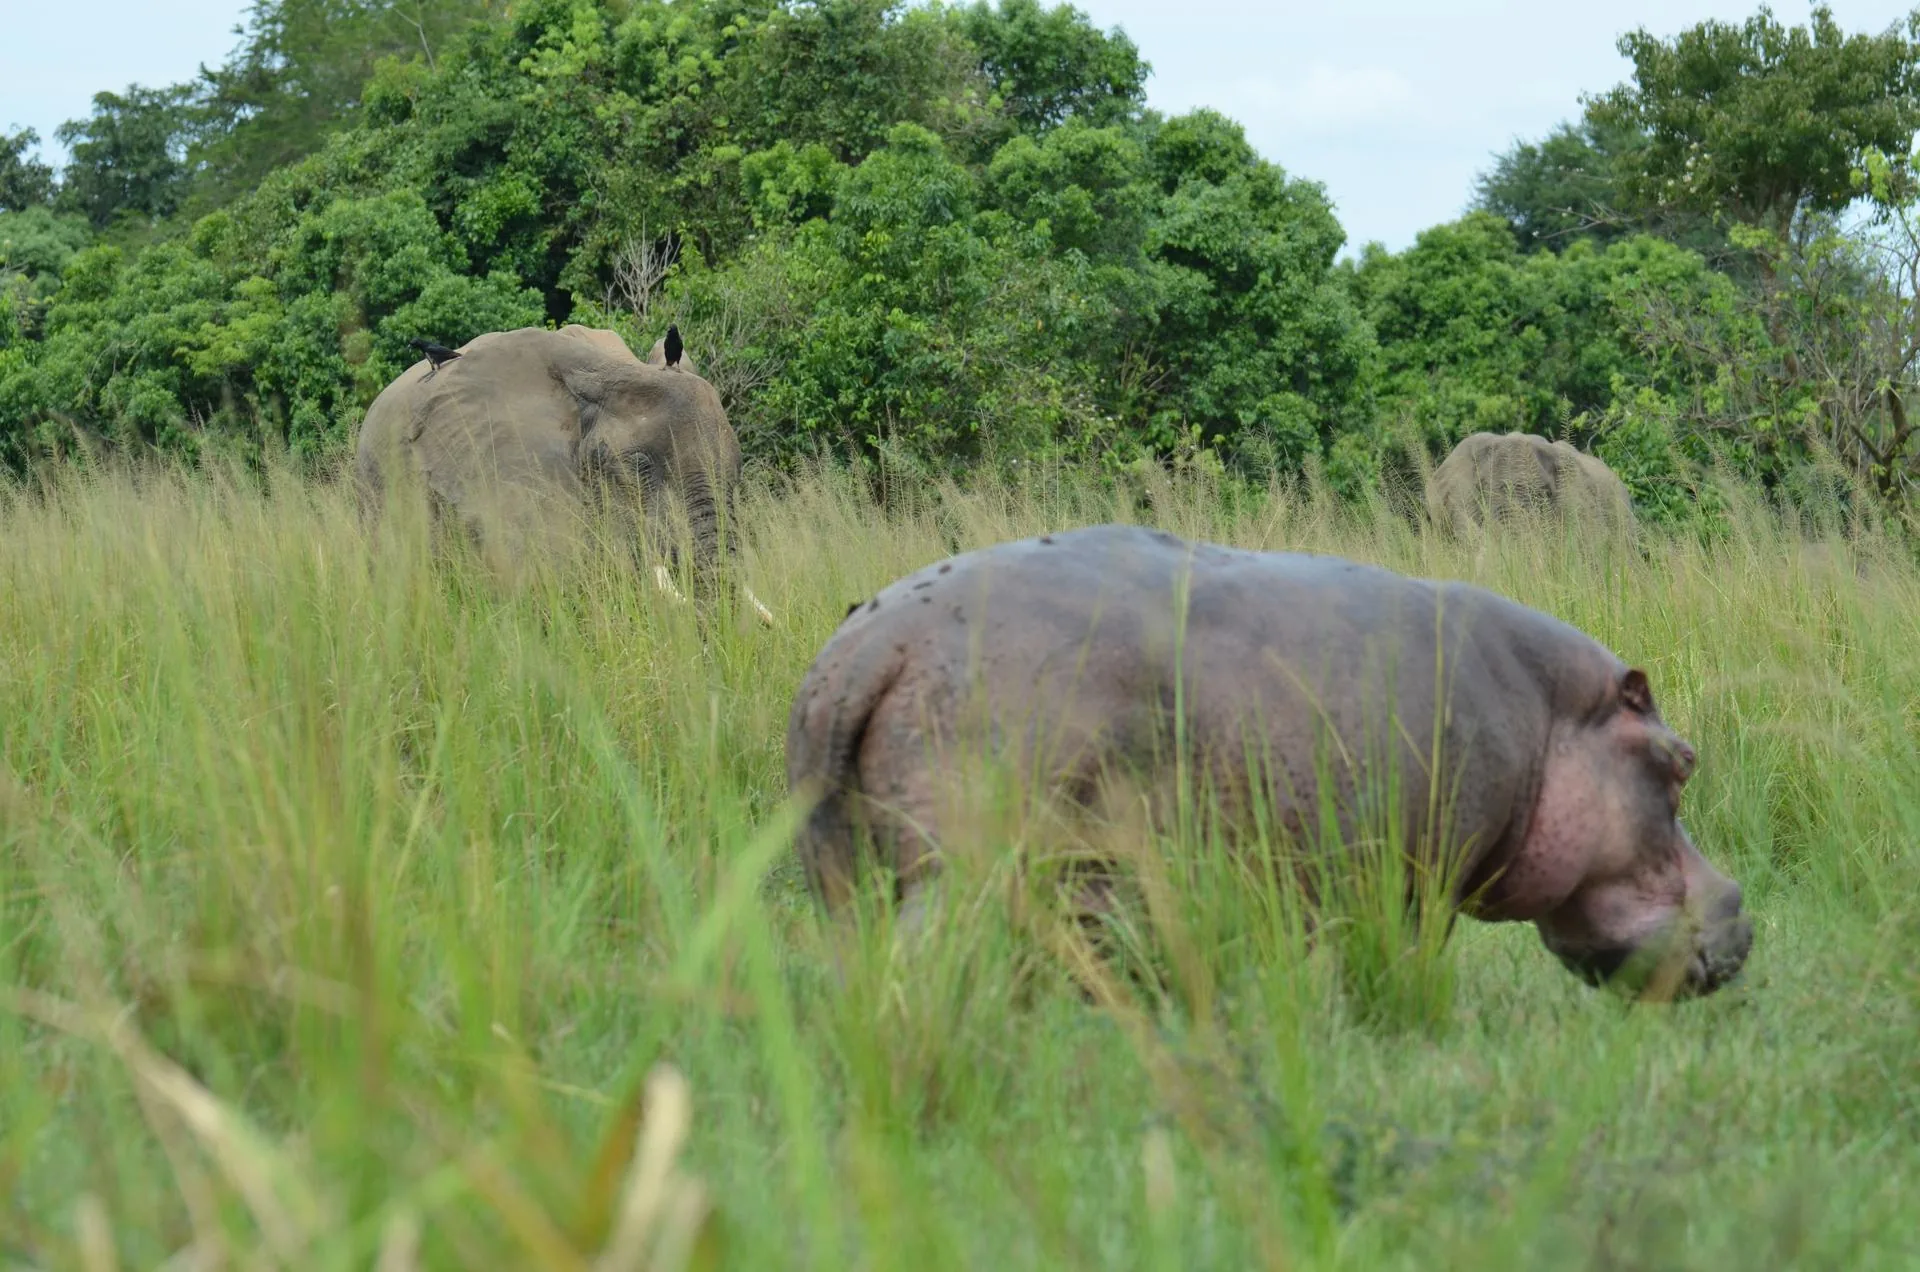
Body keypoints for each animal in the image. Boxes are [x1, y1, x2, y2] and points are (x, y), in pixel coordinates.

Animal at [784, 523, 1753, 998]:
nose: (1745, 915)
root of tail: (867, 647)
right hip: (963, 867)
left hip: (842, 876)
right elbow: (1407, 953)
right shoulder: (1422, 872)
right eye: (1682, 762)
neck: (1555, 713)